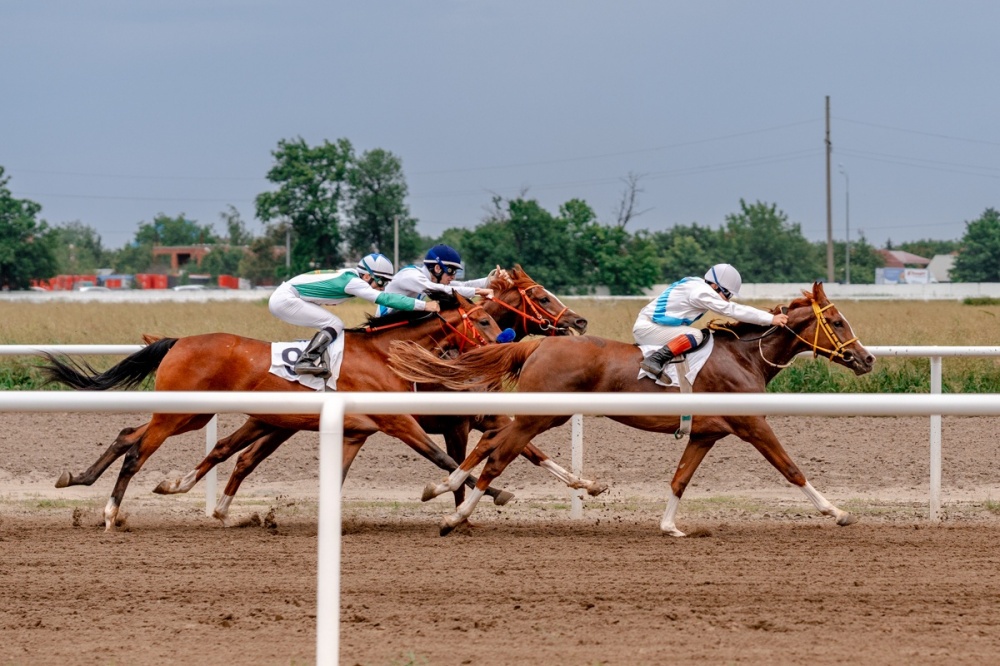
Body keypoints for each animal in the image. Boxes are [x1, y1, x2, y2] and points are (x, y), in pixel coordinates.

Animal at [41, 290, 508, 528]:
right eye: (483, 320)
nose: (506, 349)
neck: (382, 353)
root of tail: (179, 341)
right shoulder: (396, 420)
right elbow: (442, 456)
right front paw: (486, 493)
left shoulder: (355, 431)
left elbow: (337, 475)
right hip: (180, 413)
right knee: (138, 451)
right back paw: (111, 512)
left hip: (190, 415)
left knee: (128, 436)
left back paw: (79, 480)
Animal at [154, 264, 600, 524]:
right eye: (541, 296)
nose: (580, 322)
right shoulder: (448, 423)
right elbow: (456, 462)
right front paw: (465, 510)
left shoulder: (479, 415)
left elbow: (524, 448)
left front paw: (585, 483)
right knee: (231, 452)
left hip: (277, 423)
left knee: (236, 454)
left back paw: (217, 506)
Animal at [390, 280, 876, 536]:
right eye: (836, 322)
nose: (867, 358)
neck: (744, 357)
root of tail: (537, 343)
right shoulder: (752, 424)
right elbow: (791, 468)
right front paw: (837, 512)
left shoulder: (706, 433)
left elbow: (680, 479)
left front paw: (670, 527)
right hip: (539, 414)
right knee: (500, 454)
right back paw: (455, 515)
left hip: (545, 414)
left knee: (491, 441)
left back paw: (443, 489)